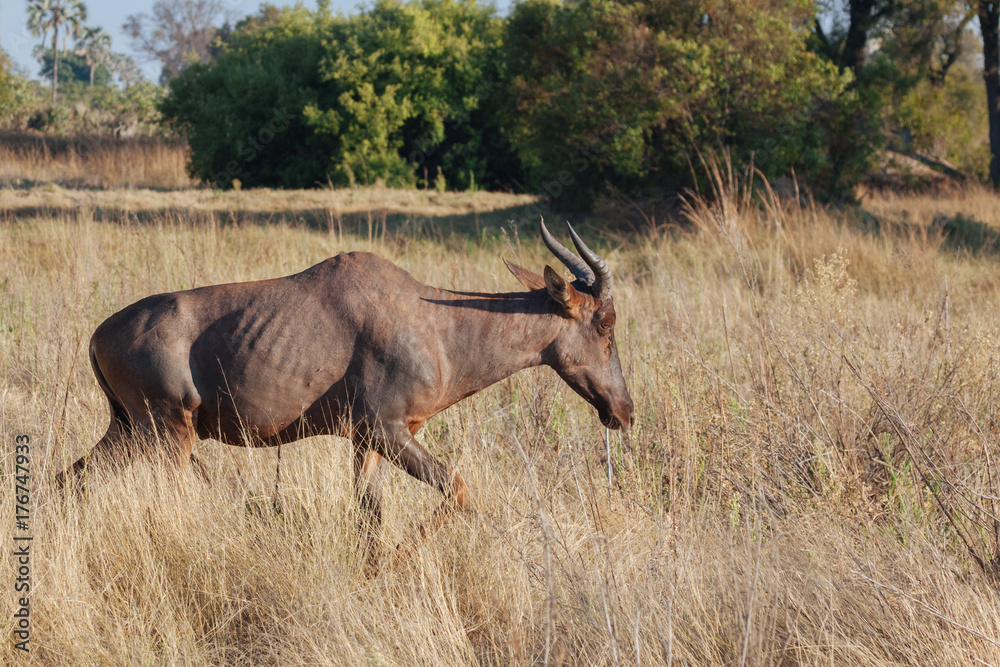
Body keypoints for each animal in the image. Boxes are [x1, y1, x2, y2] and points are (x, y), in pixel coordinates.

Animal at [56, 219, 634, 571]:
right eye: (605, 323)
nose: (623, 412)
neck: (434, 321)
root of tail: (97, 335)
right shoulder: (387, 430)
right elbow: (457, 487)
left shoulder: (367, 441)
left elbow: (367, 514)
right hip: (169, 432)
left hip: (128, 430)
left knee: (68, 479)